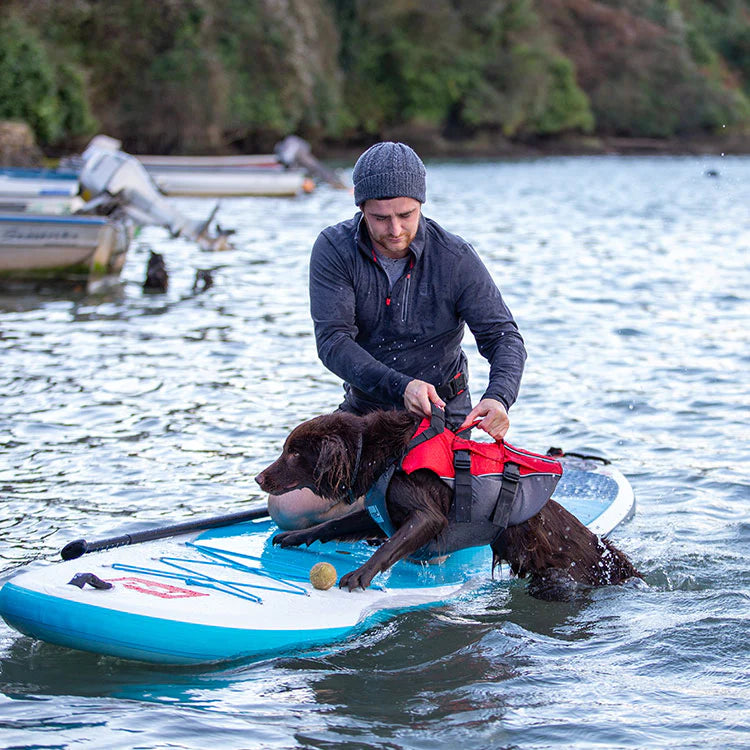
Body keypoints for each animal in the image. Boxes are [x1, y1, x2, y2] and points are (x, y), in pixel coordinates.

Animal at [258, 408, 640, 604]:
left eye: (294, 453)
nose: (259, 479)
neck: (381, 452)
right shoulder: (380, 510)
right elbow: (333, 525)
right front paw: (295, 537)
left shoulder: (427, 516)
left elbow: (388, 548)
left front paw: (360, 575)